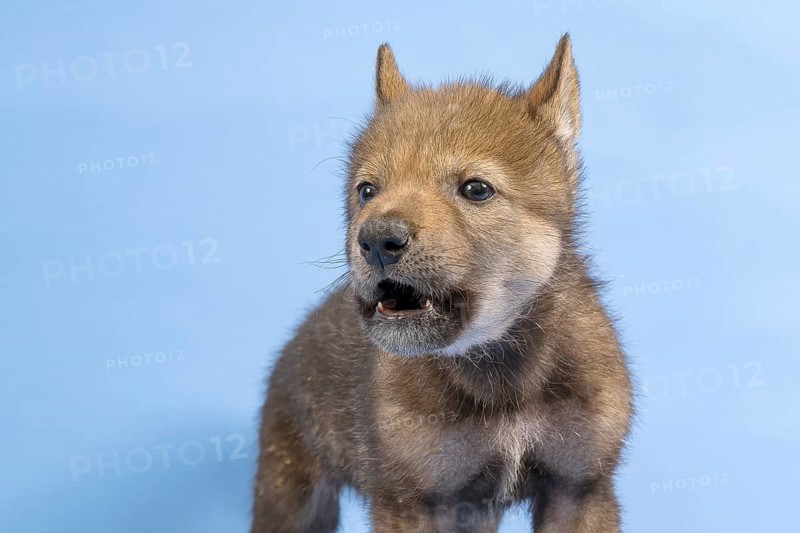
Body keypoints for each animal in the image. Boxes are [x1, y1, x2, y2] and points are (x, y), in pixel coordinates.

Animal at [252, 34, 634, 532]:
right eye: (367, 191)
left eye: (476, 189)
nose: (376, 240)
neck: (500, 373)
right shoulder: (409, 502)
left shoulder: (580, 490)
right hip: (291, 492)